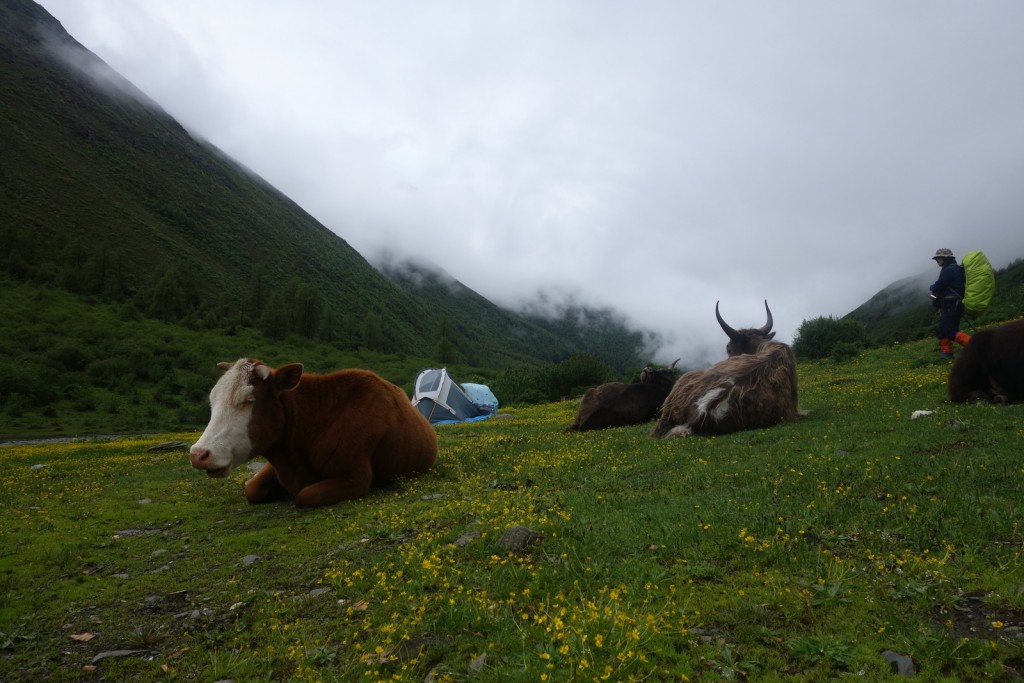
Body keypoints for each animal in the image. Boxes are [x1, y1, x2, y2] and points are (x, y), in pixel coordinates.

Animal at [190, 358, 438, 507]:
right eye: (212, 399)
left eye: (250, 399)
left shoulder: (357, 476)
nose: (199, 454)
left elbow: (305, 495)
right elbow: (251, 489)